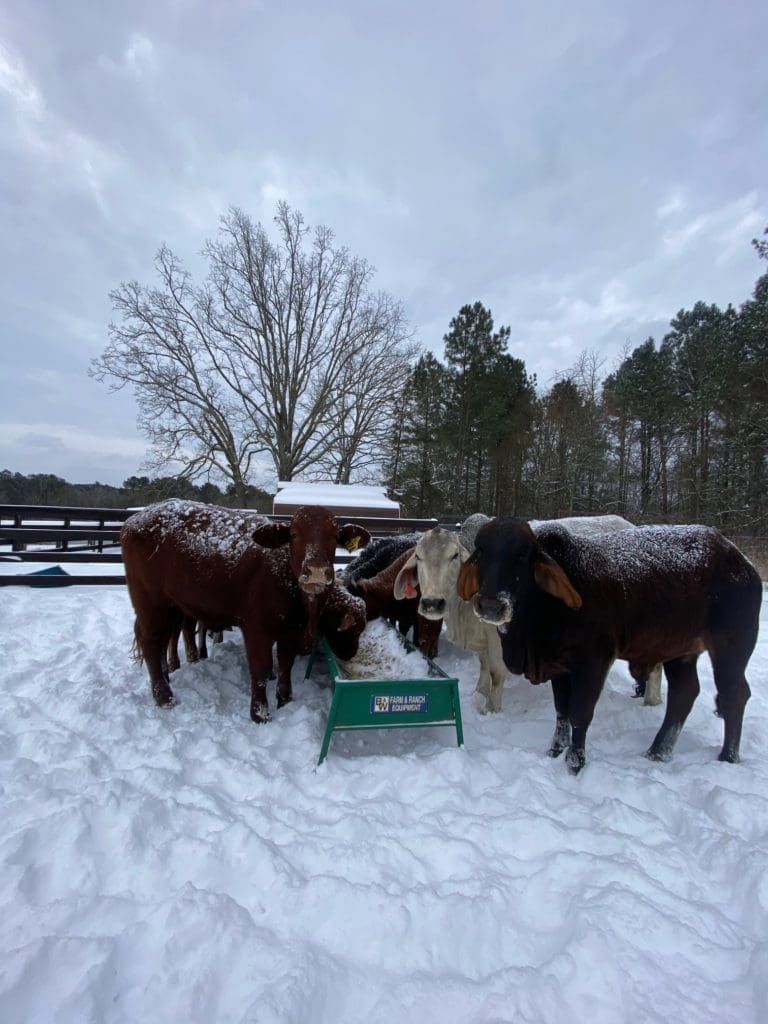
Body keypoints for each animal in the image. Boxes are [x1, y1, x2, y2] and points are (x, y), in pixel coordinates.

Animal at [122, 500, 370, 722]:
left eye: (334, 536)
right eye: (294, 534)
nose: (316, 571)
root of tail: (137, 518)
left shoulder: (291, 631)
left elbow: (285, 666)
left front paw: (285, 702)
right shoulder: (256, 629)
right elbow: (260, 669)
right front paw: (260, 714)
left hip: (170, 605)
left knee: (163, 639)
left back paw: (166, 677)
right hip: (150, 601)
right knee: (150, 640)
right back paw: (164, 697)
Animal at [457, 517, 762, 773]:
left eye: (522, 554)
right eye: (480, 551)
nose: (491, 605)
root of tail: (740, 560)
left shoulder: (593, 662)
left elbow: (580, 713)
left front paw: (574, 763)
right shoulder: (558, 667)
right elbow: (561, 712)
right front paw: (554, 751)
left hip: (731, 646)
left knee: (734, 695)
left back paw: (727, 757)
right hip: (680, 651)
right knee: (684, 693)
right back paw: (657, 752)